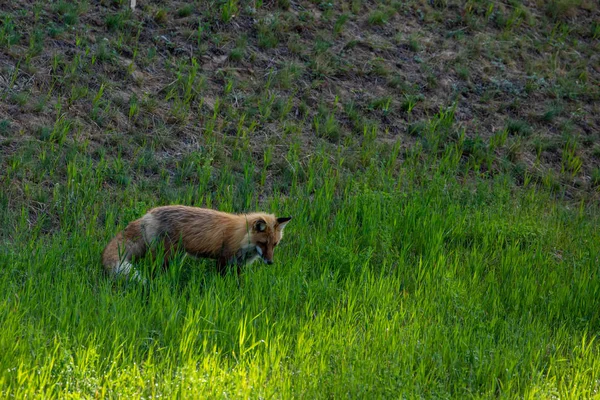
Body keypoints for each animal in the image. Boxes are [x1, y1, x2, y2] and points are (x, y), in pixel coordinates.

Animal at [101, 206, 292, 282]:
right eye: (263, 243)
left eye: (274, 245)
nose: (270, 262)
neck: (241, 237)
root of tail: (147, 215)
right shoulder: (223, 259)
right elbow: (221, 278)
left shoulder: (238, 265)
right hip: (167, 257)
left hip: (177, 256)